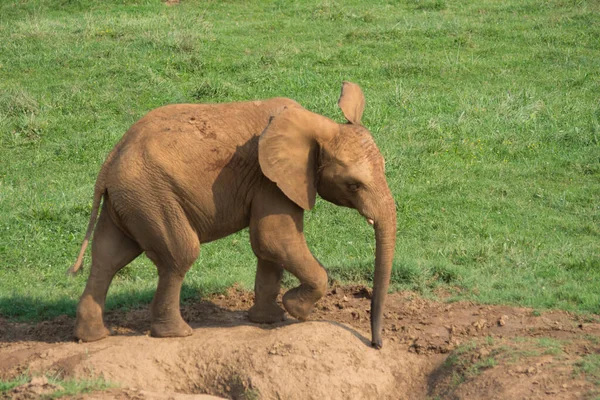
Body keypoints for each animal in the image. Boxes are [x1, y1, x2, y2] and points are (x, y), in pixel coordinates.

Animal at [70, 80, 396, 346]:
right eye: (353, 185)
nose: (376, 344)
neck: (317, 126)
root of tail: (109, 161)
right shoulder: (270, 180)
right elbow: (274, 238)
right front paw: (296, 310)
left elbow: (268, 247)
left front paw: (269, 320)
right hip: (151, 194)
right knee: (179, 254)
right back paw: (176, 333)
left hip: (131, 200)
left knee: (108, 257)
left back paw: (93, 337)